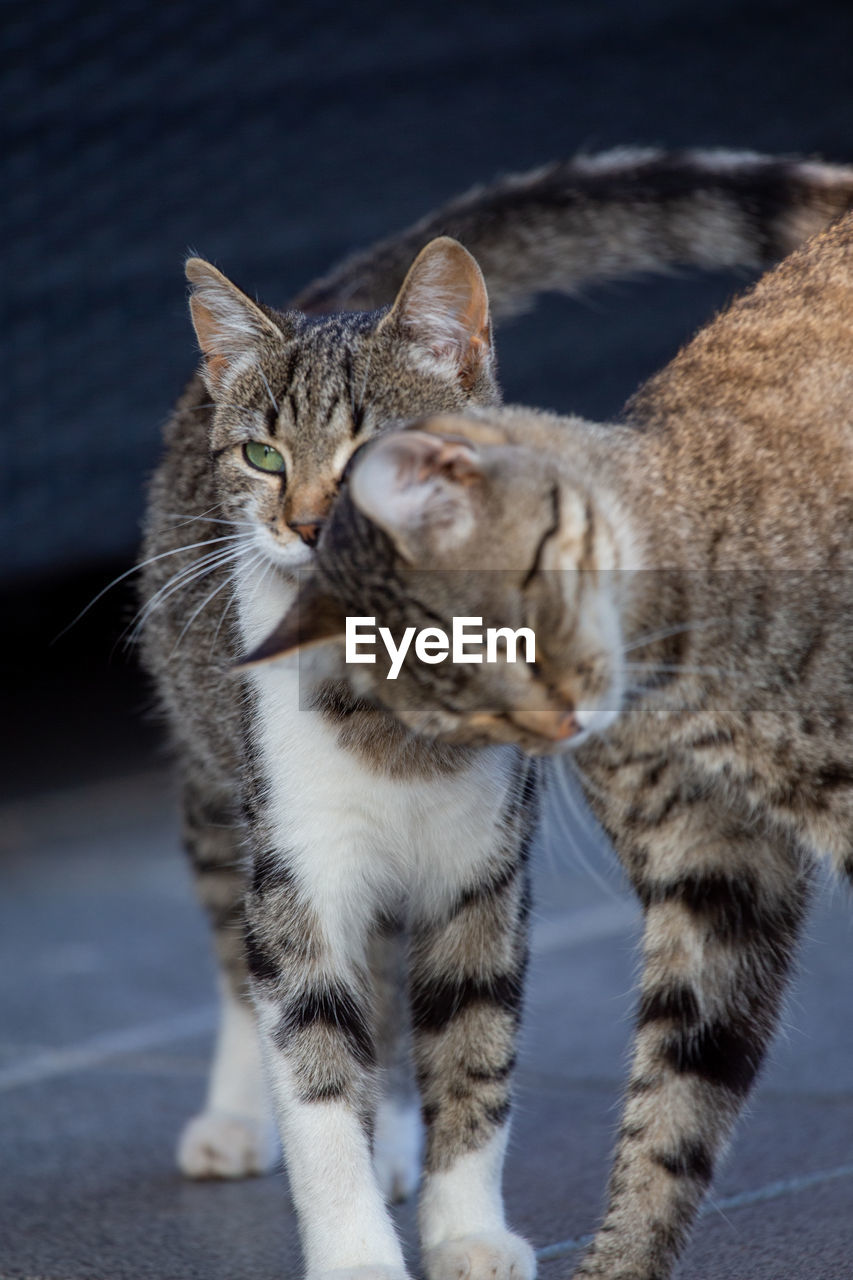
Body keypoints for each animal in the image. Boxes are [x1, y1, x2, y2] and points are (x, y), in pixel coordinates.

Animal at [139, 152, 850, 1280]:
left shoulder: (483, 871)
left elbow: (473, 1051)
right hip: (215, 780)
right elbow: (311, 1059)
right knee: (235, 950)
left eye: (376, 452)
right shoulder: (299, 863)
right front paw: (355, 1249)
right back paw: (237, 1115)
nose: (308, 524)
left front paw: (464, 1226)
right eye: (261, 456)